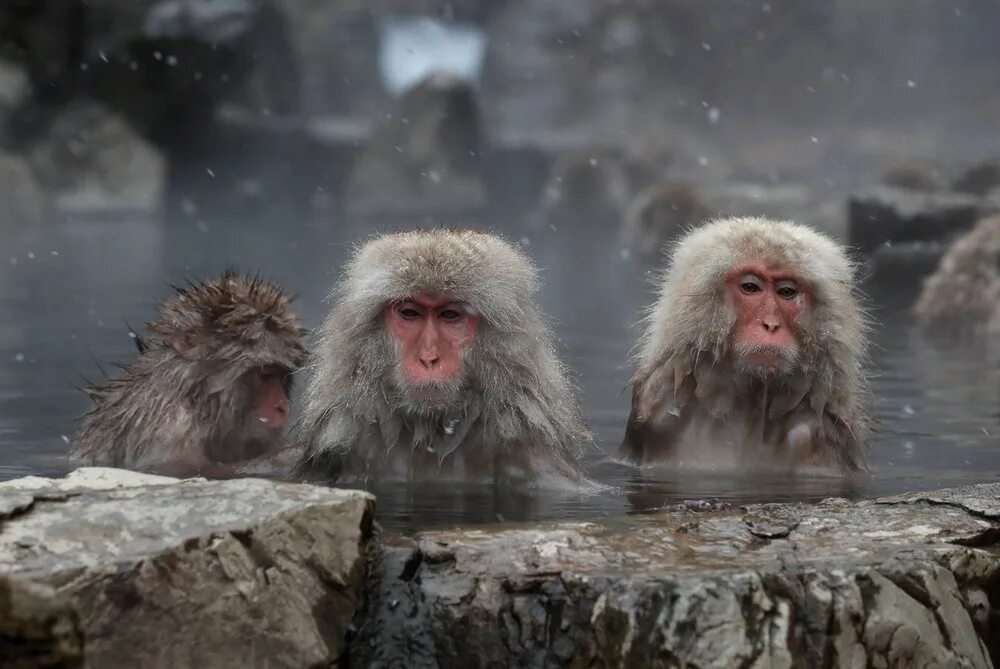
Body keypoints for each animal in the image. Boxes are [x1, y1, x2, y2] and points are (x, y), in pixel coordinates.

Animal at [72, 274, 306, 478]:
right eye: (265, 374)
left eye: (283, 376)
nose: (282, 407)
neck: (199, 400)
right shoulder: (169, 427)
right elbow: (183, 469)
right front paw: (288, 456)